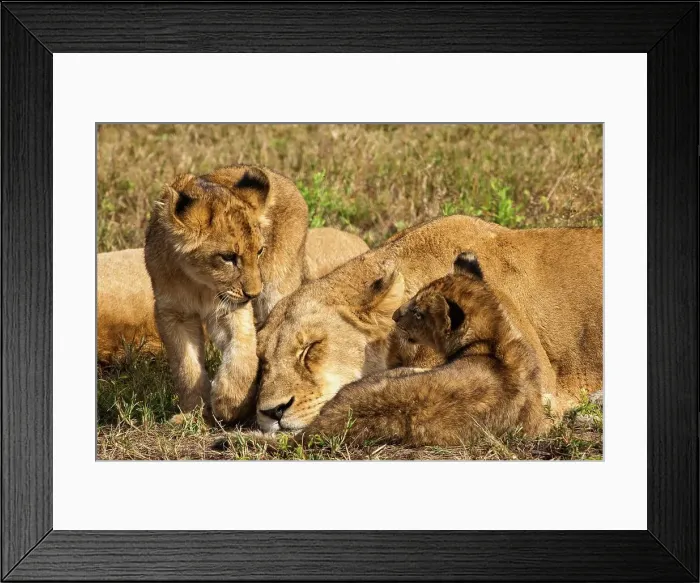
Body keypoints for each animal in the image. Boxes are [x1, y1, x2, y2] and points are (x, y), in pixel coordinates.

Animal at [144, 165, 309, 423]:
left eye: (259, 251)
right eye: (228, 257)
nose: (253, 294)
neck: (199, 282)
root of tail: (283, 179)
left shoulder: (230, 308)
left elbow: (242, 353)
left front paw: (229, 403)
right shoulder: (174, 314)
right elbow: (186, 366)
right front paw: (192, 414)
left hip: (279, 288)